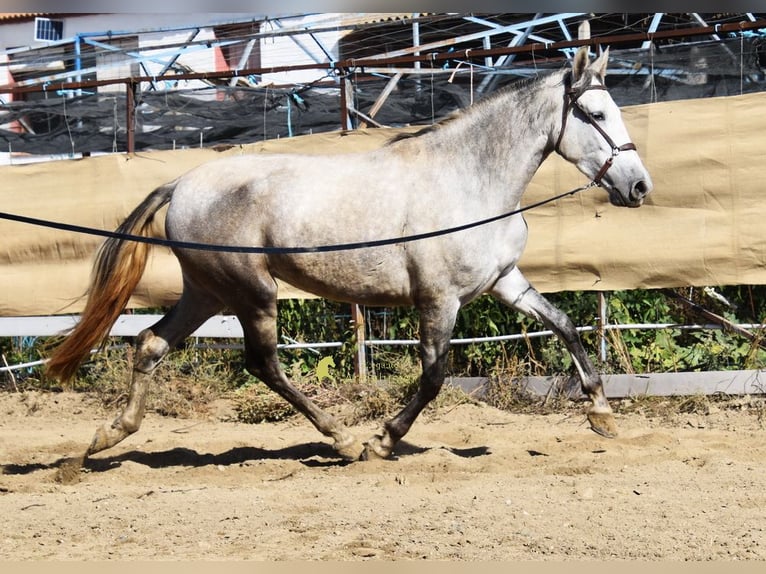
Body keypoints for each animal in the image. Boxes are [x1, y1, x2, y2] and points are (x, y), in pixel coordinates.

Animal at [47, 46, 652, 463]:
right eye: (596, 114)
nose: (640, 187)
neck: (468, 178)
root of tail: (182, 184)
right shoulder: (438, 299)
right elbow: (434, 375)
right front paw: (382, 441)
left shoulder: (504, 281)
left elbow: (565, 324)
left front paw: (601, 414)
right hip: (251, 290)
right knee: (262, 363)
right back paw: (340, 439)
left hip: (207, 291)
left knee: (150, 344)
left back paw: (107, 437)